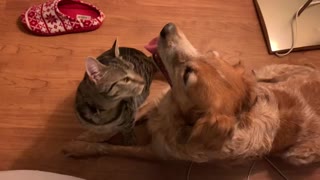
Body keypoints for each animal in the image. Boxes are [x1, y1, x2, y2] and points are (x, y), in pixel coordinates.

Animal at [62, 22, 320, 166]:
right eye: (209, 53)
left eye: (187, 75)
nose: (167, 27)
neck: (177, 118)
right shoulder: (158, 102)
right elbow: (117, 125)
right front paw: (85, 137)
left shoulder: (154, 152)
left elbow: (113, 148)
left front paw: (77, 148)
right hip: (265, 72)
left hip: (296, 156)